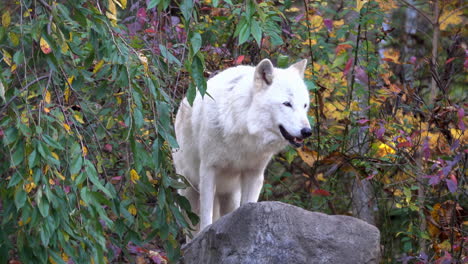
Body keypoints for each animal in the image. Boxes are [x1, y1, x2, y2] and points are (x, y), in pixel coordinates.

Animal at [172, 58, 310, 235]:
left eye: (305, 105)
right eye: (287, 104)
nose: (307, 131)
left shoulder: (254, 174)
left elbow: (247, 206)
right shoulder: (208, 170)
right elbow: (206, 215)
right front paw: (206, 233)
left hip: (230, 195)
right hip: (189, 192)